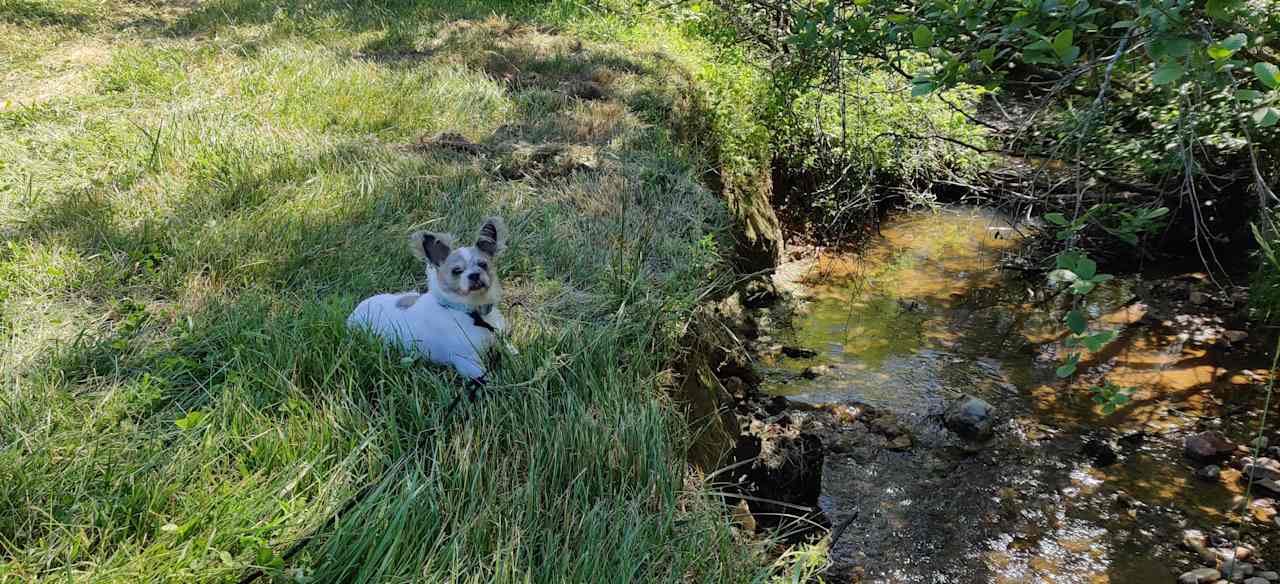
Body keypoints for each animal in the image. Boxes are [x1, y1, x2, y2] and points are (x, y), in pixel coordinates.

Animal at [350, 216, 514, 381]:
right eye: (456, 271)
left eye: (483, 264)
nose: (474, 275)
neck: (469, 311)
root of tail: (354, 313)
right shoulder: (468, 363)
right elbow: (487, 379)